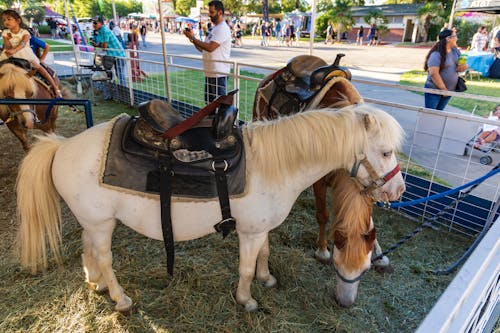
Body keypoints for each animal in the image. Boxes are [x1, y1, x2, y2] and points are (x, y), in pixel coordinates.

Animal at [16, 103, 406, 312]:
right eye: (386, 151)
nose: (400, 189)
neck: (273, 163)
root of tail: (61, 147)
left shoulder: (260, 229)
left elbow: (265, 255)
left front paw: (267, 279)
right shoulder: (249, 232)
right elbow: (245, 267)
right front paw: (246, 300)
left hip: (93, 222)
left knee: (88, 252)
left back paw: (94, 283)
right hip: (101, 225)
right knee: (105, 259)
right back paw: (120, 298)